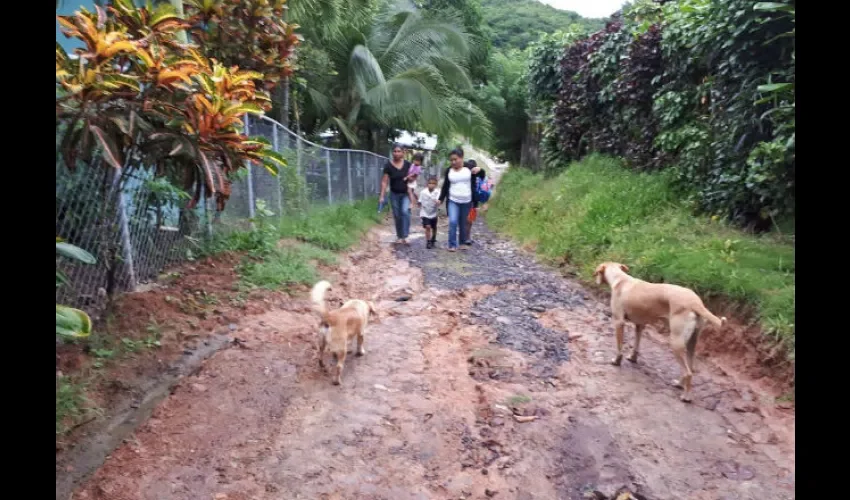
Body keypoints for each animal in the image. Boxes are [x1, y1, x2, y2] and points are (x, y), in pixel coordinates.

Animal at [592, 262, 724, 402]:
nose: (595, 280)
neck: (620, 279)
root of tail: (695, 302)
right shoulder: (639, 325)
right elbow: (636, 346)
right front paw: (633, 358)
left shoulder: (618, 322)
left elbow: (619, 347)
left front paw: (616, 361)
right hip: (691, 343)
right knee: (689, 369)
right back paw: (679, 384)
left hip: (676, 342)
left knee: (687, 372)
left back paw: (686, 396)